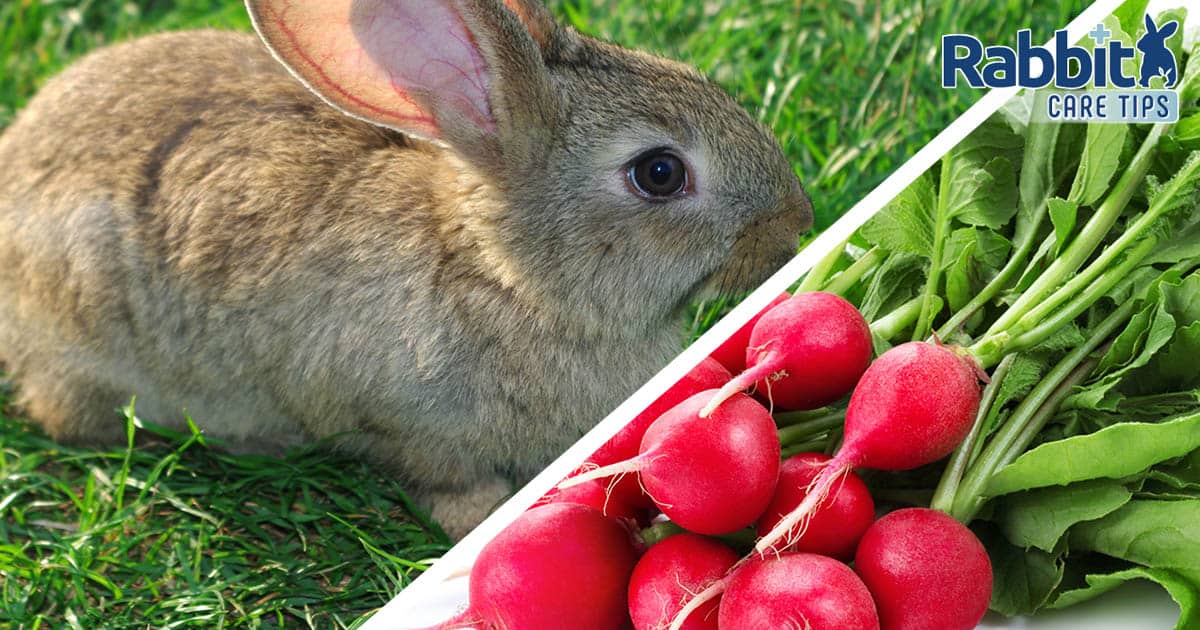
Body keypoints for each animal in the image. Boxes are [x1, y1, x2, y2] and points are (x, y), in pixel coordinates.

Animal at [0, 0, 811, 535]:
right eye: (659, 173)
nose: (797, 223)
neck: (507, 276)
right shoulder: (404, 424)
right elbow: (445, 481)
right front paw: (483, 517)